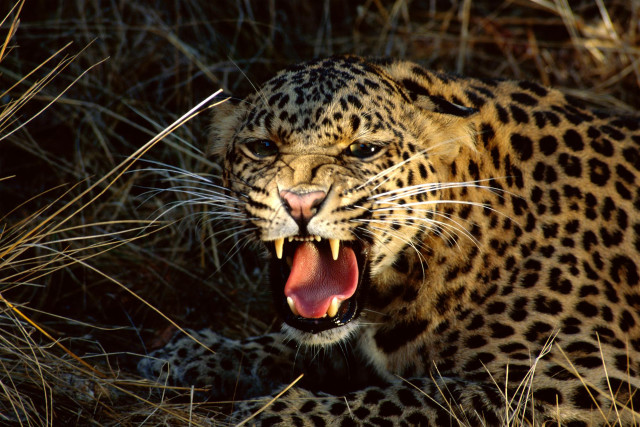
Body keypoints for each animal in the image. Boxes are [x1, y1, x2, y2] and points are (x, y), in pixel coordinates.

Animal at [138, 55, 640, 426]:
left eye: (364, 150)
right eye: (263, 148)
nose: (300, 202)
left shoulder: (589, 381)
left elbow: (422, 397)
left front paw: (271, 413)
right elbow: (303, 345)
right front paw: (196, 353)